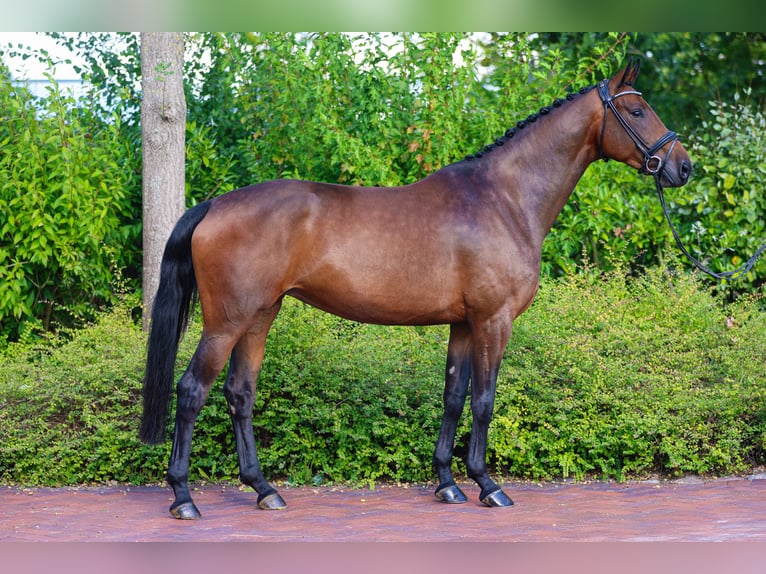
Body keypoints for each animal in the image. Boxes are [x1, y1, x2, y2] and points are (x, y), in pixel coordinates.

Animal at [140, 58, 691, 519]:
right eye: (637, 110)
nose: (682, 166)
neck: (504, 198)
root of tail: (214, 205)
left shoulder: (464, 324)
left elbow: (453, 397)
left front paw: (448, 483)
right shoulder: (493, 321)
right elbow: (484, 400)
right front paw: (489, 486)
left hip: (260, 314)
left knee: (239, 393)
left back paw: (264, 490)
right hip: (226, 322)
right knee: (191, 391)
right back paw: (184, 497)